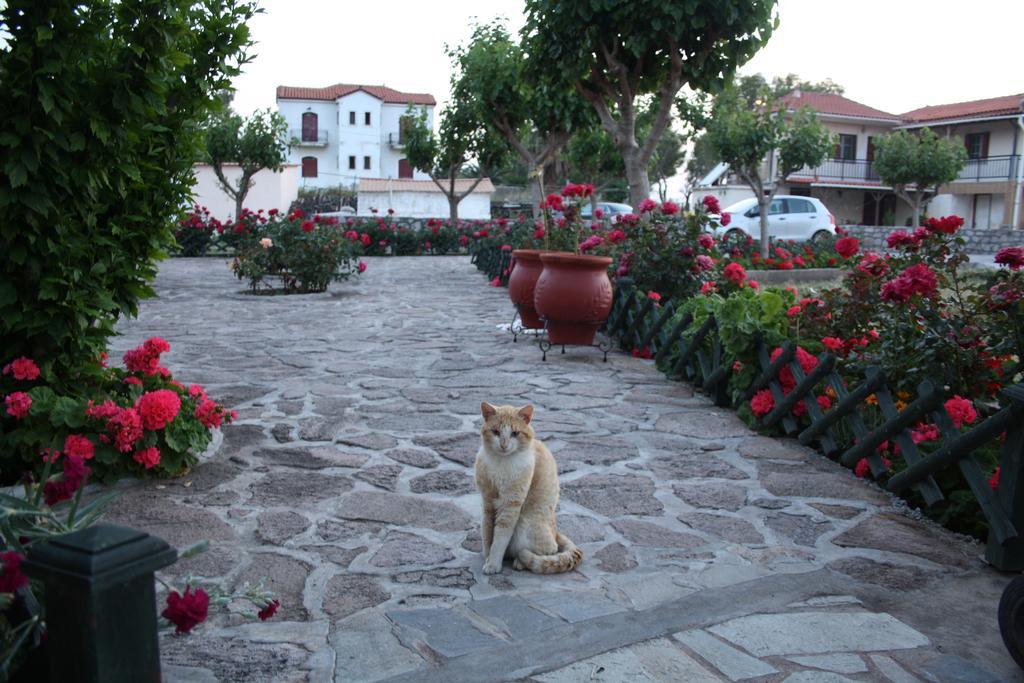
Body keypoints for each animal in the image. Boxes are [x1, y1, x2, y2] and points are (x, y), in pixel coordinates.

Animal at [473, 403, 581, 573]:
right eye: (496, 432)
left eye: (515, 433)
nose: (503, 445)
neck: (501, 463)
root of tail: (555, 530)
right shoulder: (487, 503)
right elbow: (487, 534)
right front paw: (487, 556)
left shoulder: (511, 505)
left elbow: (499, 540)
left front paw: (493, 564)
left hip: (525, 524)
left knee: (549, 550)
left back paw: (519, 562)